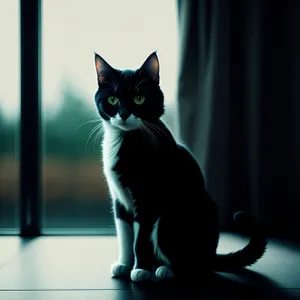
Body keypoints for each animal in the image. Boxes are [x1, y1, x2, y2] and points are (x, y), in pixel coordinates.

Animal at [94, 52, 268, 284]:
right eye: (112, 99)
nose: (123, 114)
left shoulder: (150, 199)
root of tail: (211, 256)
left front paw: (141, 270)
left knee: (192, 264)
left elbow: (141, 239)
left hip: (173, 218)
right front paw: (124, 264)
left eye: (139, 99)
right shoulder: (119, 198)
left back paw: (165, 270)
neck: (125, 140)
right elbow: (124, 235)